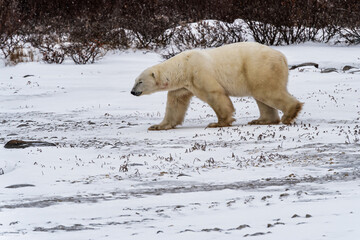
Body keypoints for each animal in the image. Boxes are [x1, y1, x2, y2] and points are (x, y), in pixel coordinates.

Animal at [131, 42, 302, 130]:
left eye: (140, 81)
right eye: (135, 80)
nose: (132, 92)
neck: (183, 67)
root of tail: (282, 57)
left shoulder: (199, 73)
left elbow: (214, 94)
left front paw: (218, 122)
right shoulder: (183, 86)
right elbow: (175, 103)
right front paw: (158, 126)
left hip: (259, 67)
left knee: (266, 92)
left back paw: (289, 114)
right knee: (261, 96)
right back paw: (261, 120)